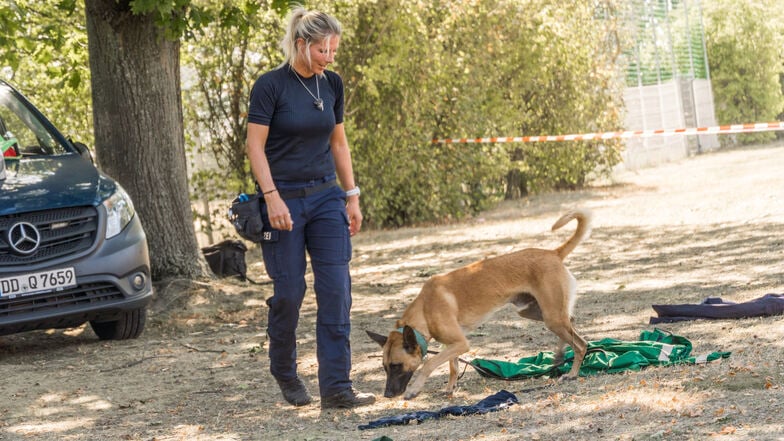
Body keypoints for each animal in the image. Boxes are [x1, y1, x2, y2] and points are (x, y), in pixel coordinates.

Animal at [370, 210, 592, 398]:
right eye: (384, 367)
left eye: (397, 365)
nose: (387, 395)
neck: (425, 308)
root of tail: (553, 253)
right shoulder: (453, 344)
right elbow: (453, 366)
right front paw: (450, 388)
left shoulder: (461, 343)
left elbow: (429, 363)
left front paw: (414, 389)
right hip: (537, 312)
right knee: (571, 321)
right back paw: (560, 355)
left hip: (551, 317)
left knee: (581, 344)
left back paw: (572, 373)